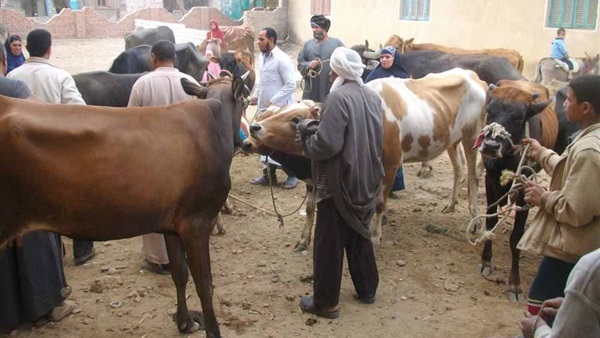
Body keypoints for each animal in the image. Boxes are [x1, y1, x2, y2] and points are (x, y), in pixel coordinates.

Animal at [0, 76, 246, 338]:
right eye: (244, 101)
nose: (243, 140)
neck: (213, 126)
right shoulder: (197, 222)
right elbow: (205, 284)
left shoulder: (173, 224)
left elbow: (179, 273)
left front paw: (185, 322)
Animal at [241, 68, 486, 247]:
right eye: (273, 112)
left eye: (296, 119)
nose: (253, 130)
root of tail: (474, 76)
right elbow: (310, 207)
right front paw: (303, 239)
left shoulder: (391, 165)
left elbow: (379, 203)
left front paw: (375, 235)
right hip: (452, 140)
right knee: (458, 169)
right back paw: (451, 203)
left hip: (472, 137)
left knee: (473, 177)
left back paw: (475, 220)